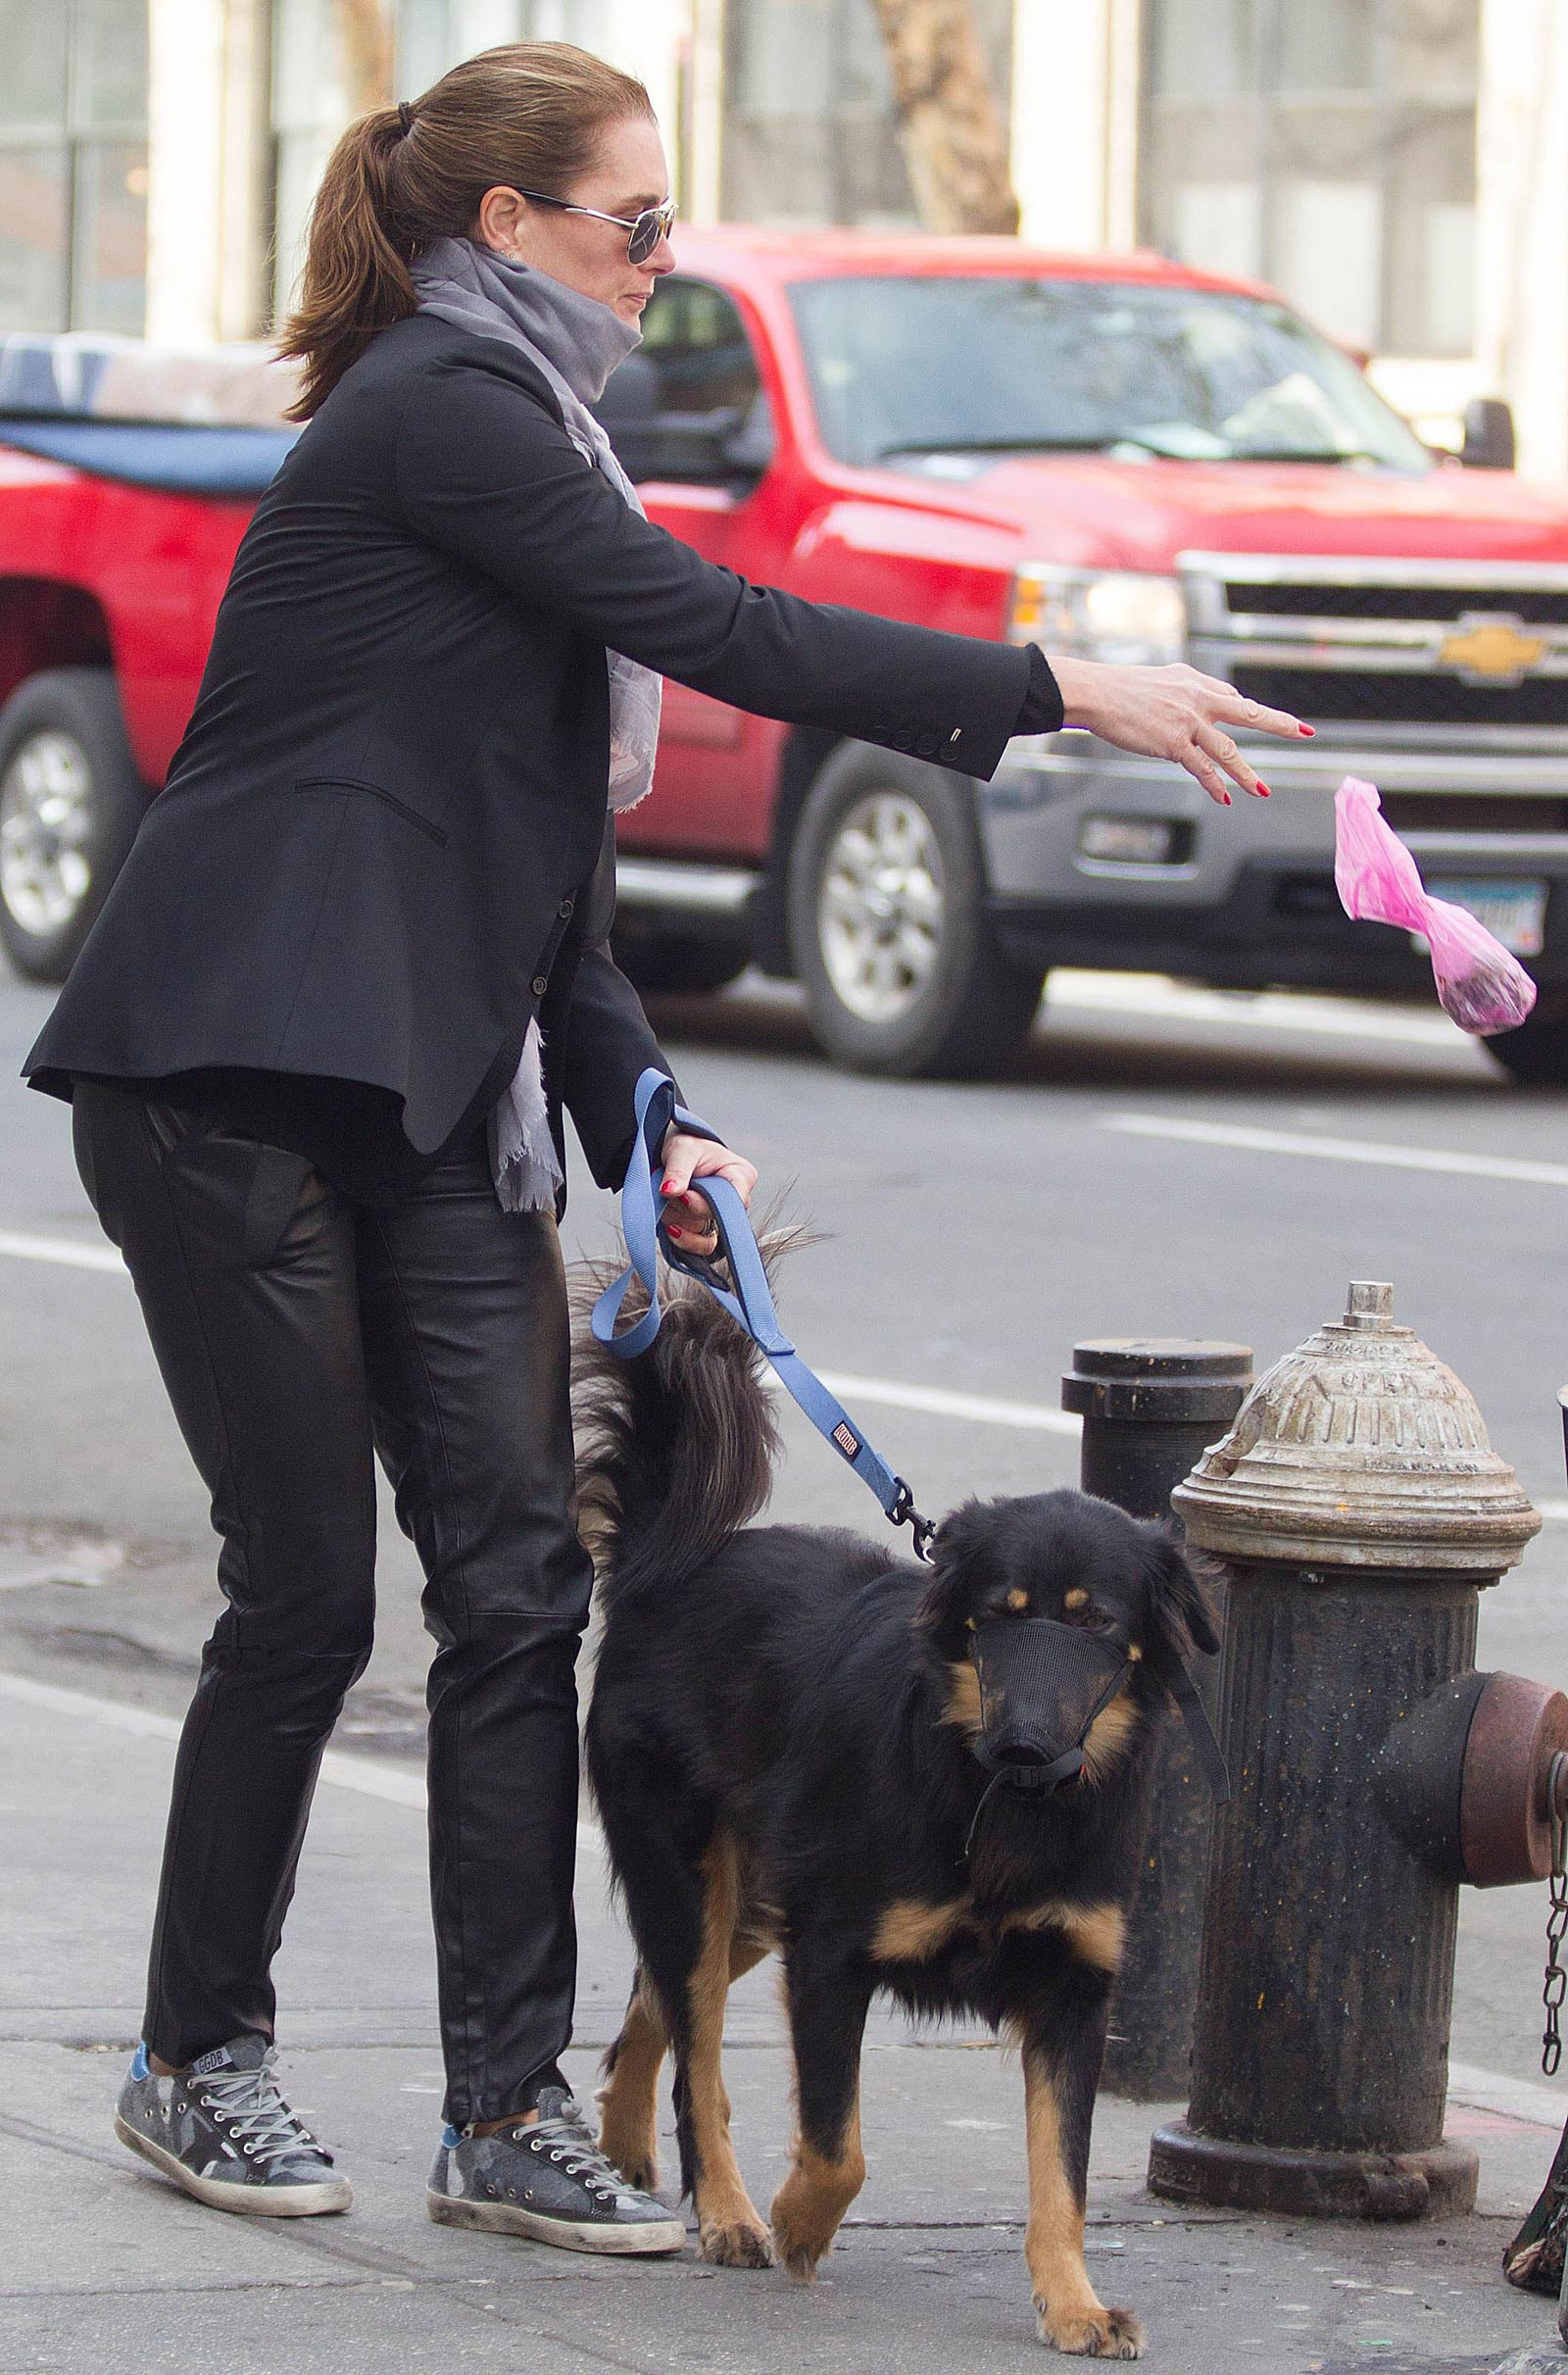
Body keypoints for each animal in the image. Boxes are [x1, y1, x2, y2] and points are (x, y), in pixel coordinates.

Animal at [581, 1263, 1216, 2355]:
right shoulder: (830, 1952)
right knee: (696, 2049)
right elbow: (839, 2146)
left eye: (1096, 1619)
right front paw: (798, 2221)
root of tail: (665, 1565)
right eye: (998, 1614)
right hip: (699, 1879)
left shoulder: (1072, 1990)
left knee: (652, 2003)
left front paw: (1074, 2304)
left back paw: (626, 2138)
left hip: (754, 1905)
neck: (1000, 1800)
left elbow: (1063, 2179)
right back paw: (730, 2210)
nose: (1025, 1741)